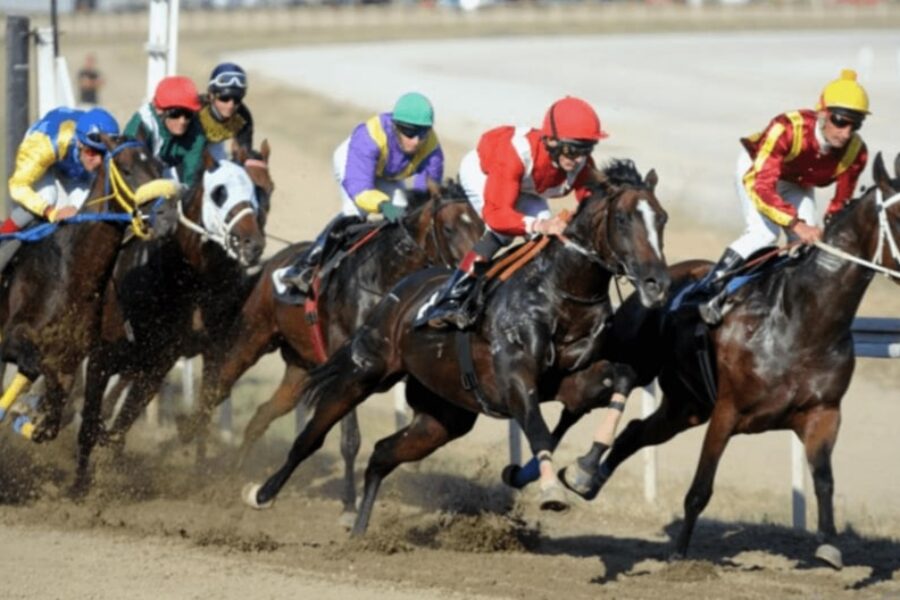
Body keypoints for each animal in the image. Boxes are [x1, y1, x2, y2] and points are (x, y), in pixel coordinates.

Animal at [0, 136, 180, 491]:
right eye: (126, 168)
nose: (166, 217)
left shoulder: (76, 358)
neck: (71, 273)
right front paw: (25, 414)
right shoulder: (14, 340)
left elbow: (62, 423)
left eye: (158, 166)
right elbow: (39, 373)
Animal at [71, 150, 269, 492]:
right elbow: (95, 416)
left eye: (255, 193)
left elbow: (201, 408)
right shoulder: (105, 354)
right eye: (219, 192)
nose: (252, 244)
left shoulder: (190, 353)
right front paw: (82, 481)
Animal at [179, 183, 484, 519]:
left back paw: (232, 475)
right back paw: (189, 445)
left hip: (300, 370)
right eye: (449, 228)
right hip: (252, 336)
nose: (478, 271)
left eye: (481, 225)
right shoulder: (351, 371)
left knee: (262, 415)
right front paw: (349, 503)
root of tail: (275, 261)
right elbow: (350, 439)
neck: (383, 279)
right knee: (217, 390)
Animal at [241, 160, 671, 535]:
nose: (657, 283)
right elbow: (538, 426)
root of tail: (400, 291)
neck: (560, 294)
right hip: (365, 371)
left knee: (382, 453)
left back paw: (361, 531)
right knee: (313, 436)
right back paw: (261, 492)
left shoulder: (572, 380)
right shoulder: (514, 379)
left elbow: (617, 380)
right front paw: (551, 488)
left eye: (662, 218)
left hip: (444, 416)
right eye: (623, 219)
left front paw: (580, 472)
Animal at [568, 152, 900, 569]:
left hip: (687, 407)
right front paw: (678, 554)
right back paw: (580, 472)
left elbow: (824, 480)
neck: (802, 321)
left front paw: (828, 545)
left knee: (635, 432)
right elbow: (700, 488)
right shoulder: (727, 410)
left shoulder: (824, 413)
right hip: (640, 368)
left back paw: (591, 481)